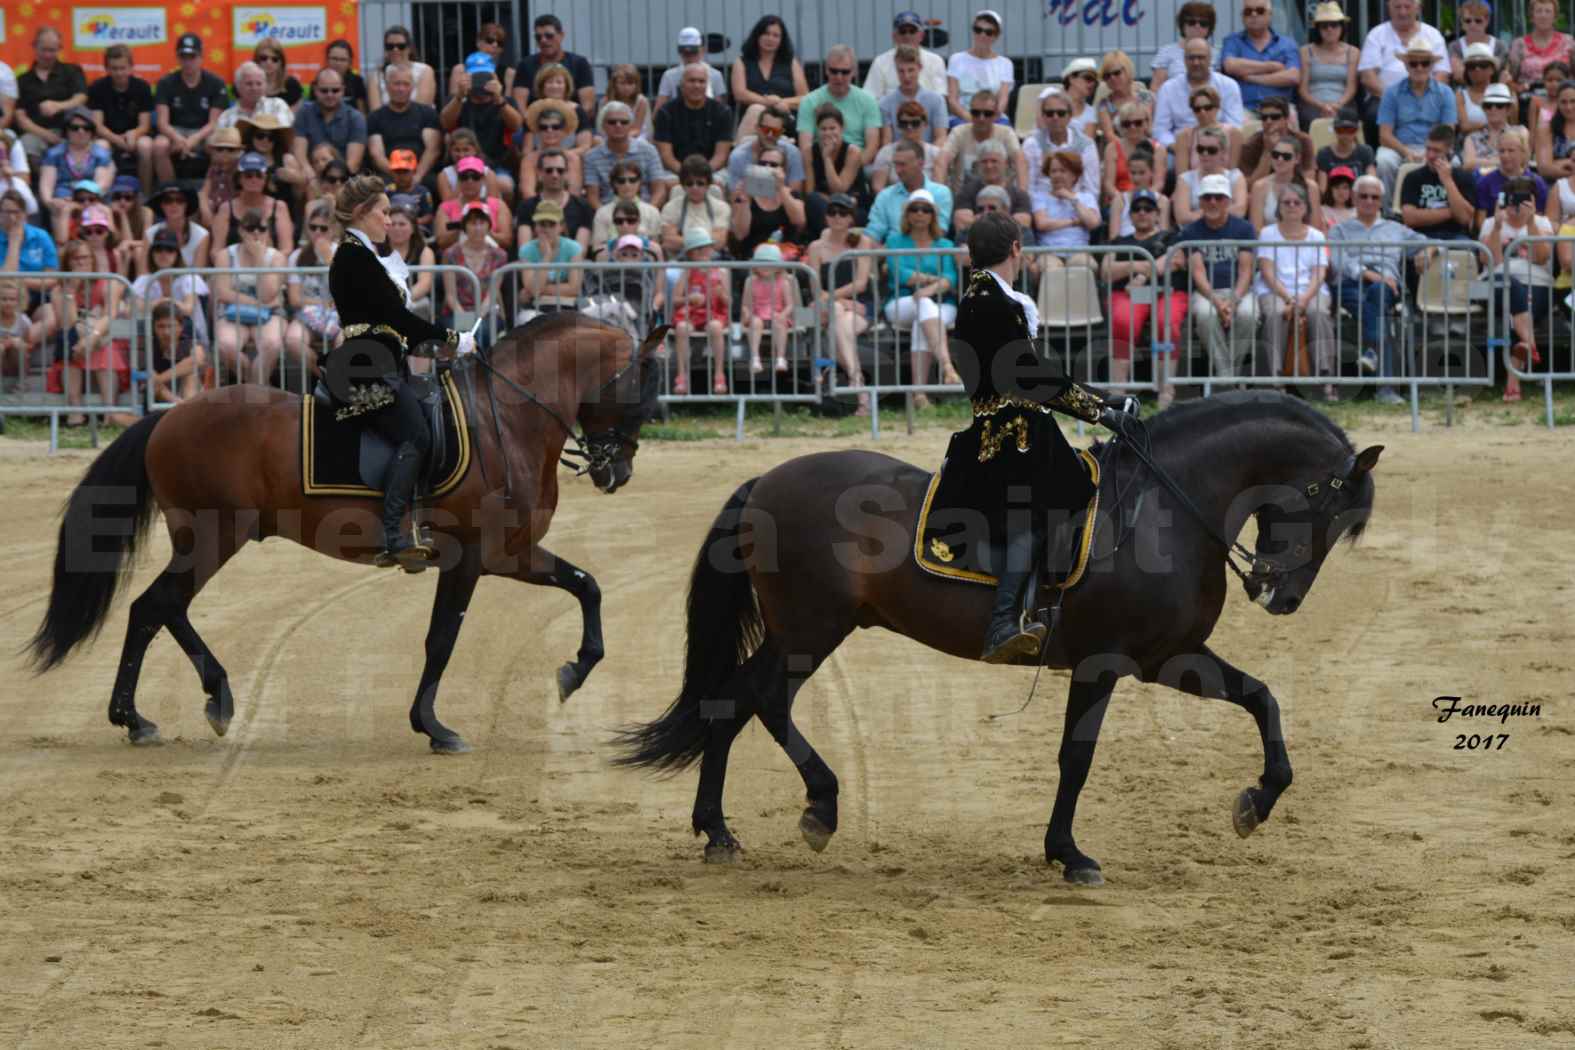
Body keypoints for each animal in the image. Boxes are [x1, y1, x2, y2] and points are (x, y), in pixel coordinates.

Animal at [32, 316, 670, 752]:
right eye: (642, 383)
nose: (618, 471)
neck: (506, 419)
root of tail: (167, 416)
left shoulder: (509, 553)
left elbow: (587, 586)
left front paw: (574, 670)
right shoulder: (470, 558)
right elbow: (442, 640)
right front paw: (434, 727)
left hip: (211, 540)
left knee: (162, 609)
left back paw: (197, 700)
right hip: (214, 537)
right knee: (154, 606)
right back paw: (144, 715)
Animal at [620, 393, 1386, 887]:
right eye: (1325, 509)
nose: (1280, 596)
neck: (1164, 510)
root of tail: (765, 481)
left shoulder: (1166, 658)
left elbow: (1262, 699)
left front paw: (1256, 803)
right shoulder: (1106, 663)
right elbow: (1076, 758)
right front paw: (1069, 854)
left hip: (802, 632)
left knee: (728, 703)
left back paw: (718, 831)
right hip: (810, 631)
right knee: (761, 701)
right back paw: (817, 808)